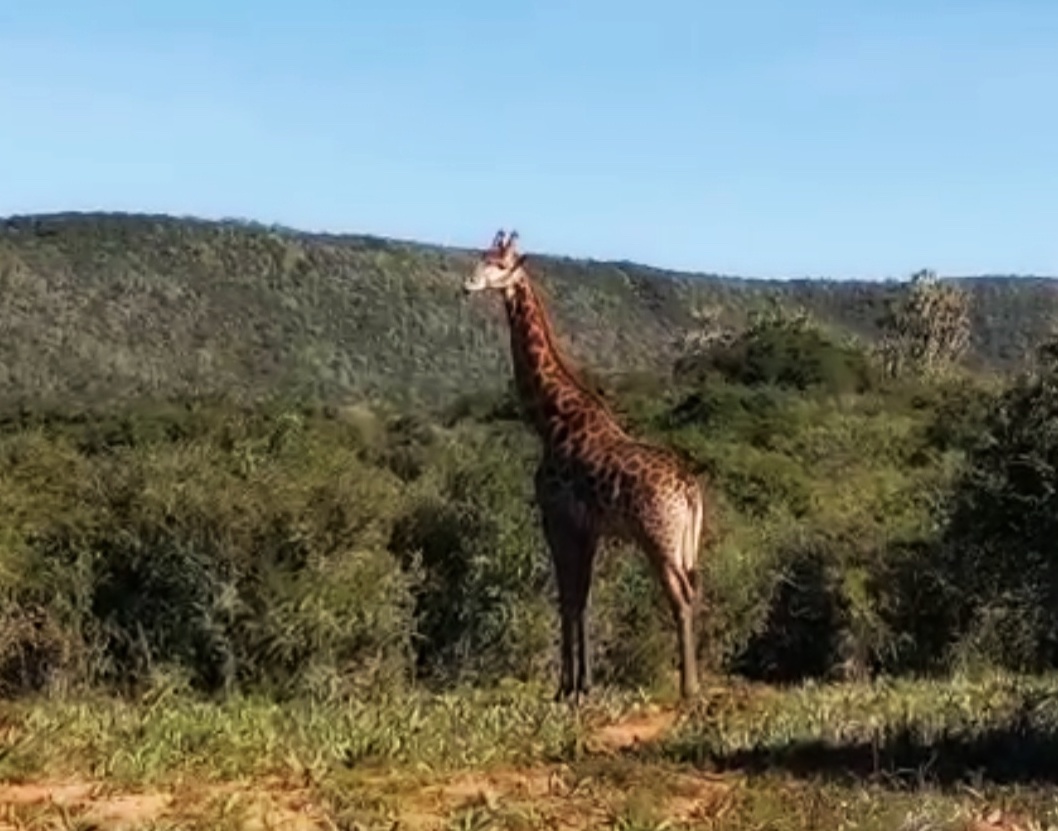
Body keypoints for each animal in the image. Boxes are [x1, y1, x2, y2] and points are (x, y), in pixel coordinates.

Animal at [463, 226, 710, 698]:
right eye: (479, 256)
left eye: (499, 265)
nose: (468, 284)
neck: (548, 417)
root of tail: (690, 491)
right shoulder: (589, 528)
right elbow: (585, 598)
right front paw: (585, 685)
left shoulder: (556, 518)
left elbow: (566, 597)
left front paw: (564, 689)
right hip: (684, 544)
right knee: (696, 589)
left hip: (658, 540)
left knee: (682, 597)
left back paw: (689, 688)